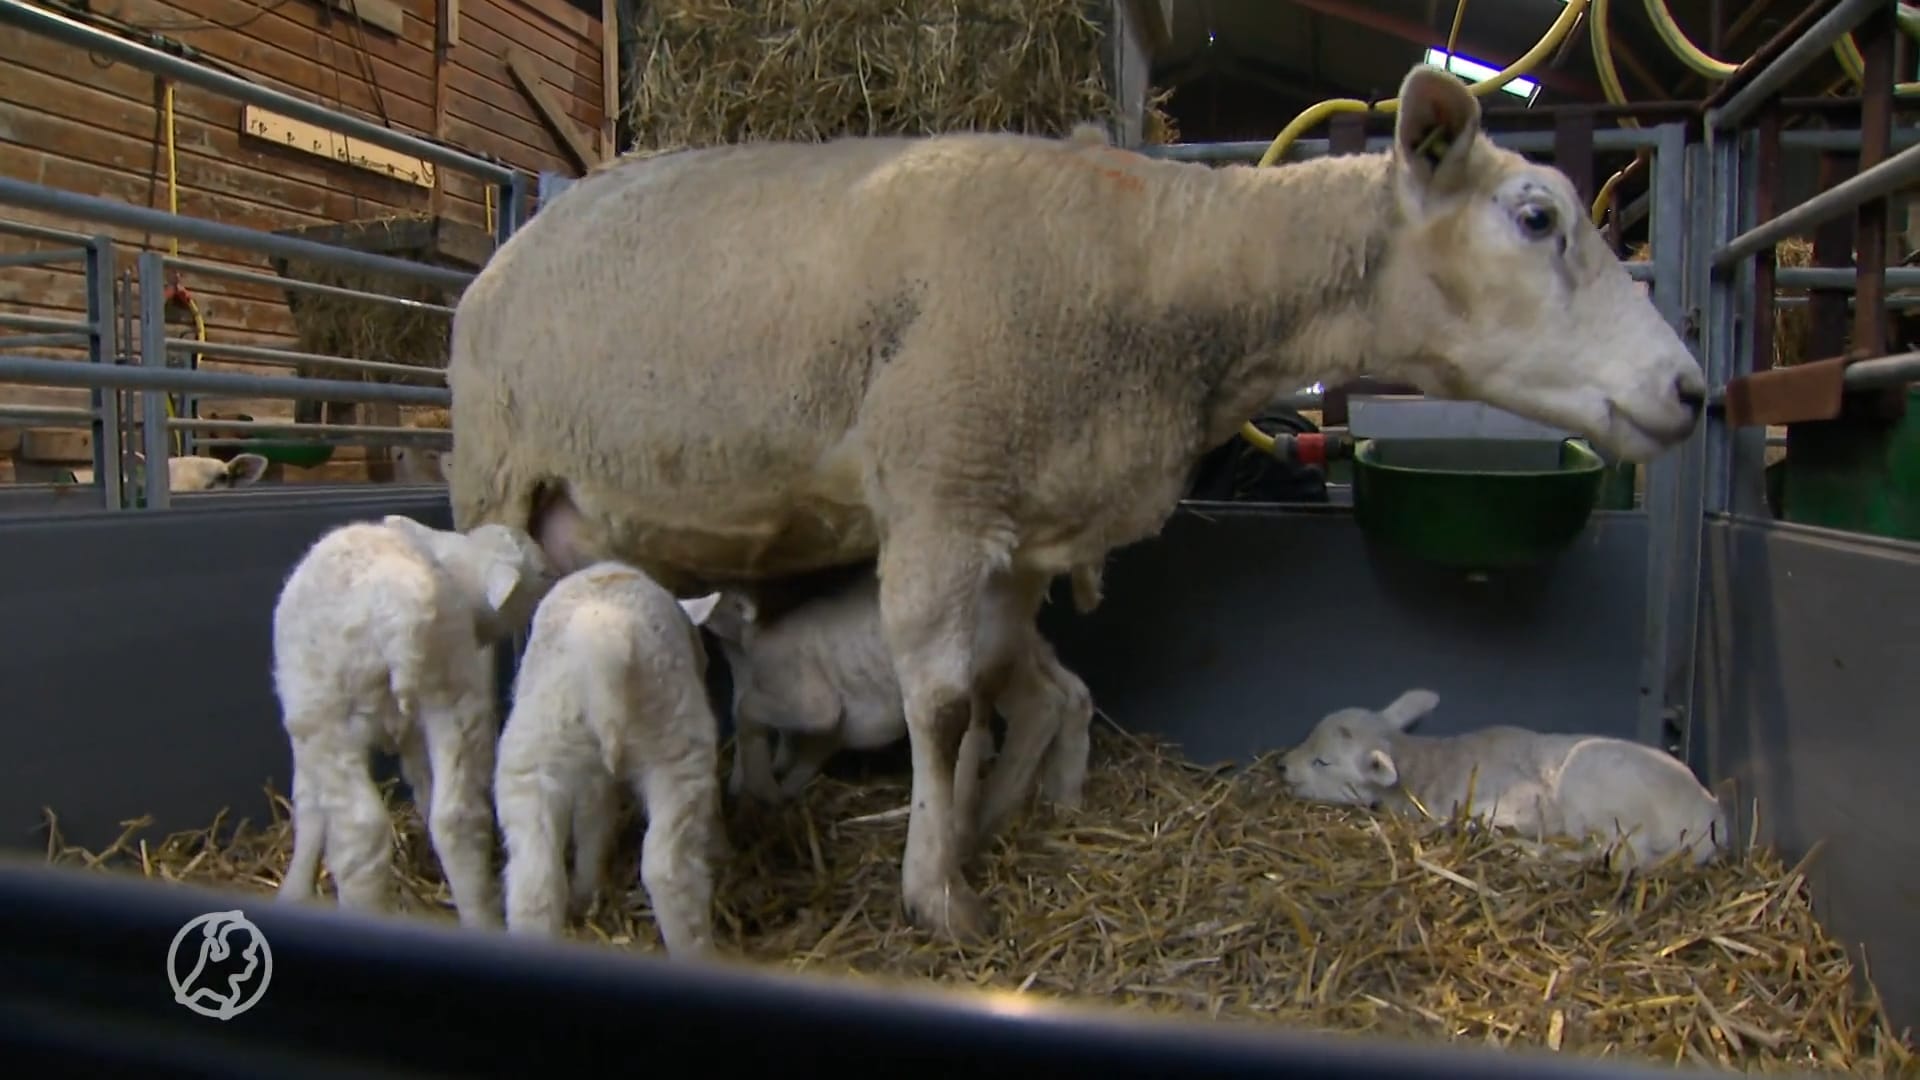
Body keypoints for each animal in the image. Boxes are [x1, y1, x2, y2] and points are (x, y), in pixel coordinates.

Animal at [270, 511, 556, 926]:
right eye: (543, 572)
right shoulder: (419, 733)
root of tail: (397, 611)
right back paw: (480, 916)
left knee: (361, 828)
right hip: (450, 698)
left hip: (326, 714)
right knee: (455, 818)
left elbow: (307, 805)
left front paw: (294, 889)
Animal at [491, 557, 729, 953]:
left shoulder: (593, 775)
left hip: (535, 750)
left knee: (536, 882)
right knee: (669, 870)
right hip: (676, 746)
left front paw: (586, 890)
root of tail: (604, 635)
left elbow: (593, 825)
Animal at [706, 564, 1098, 841]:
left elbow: (748, 711)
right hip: (1029, 647)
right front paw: (768, 786)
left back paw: (987, 814)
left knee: (1041, 706)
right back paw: (1064, 800)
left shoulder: (814, 702)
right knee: (1074, 694)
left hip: (994, 659)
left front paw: (762, 789)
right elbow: (798, 753)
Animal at [1282, 684, 1735, 868]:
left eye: (1323, 762)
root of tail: (1710, 818)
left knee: (1619, 854)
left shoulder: (1524, 800)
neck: (1429, 766)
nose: (1282, 766)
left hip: (1598, 787)